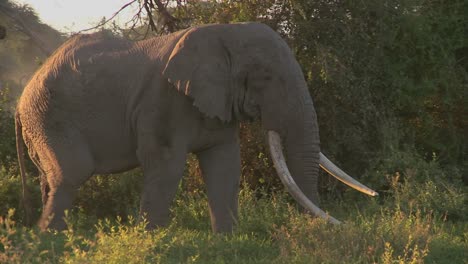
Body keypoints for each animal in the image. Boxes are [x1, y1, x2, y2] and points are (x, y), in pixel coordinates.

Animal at [16, 22, 378, 233]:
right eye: (264, 77)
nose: (335, 227)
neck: (223, 33)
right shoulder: (162, 100)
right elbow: (167, 164)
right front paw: (152, 242)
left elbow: (224, 163)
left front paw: (228, 242)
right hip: (49, 115)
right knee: (72, 174)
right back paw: (51, 241)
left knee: (52, 180)